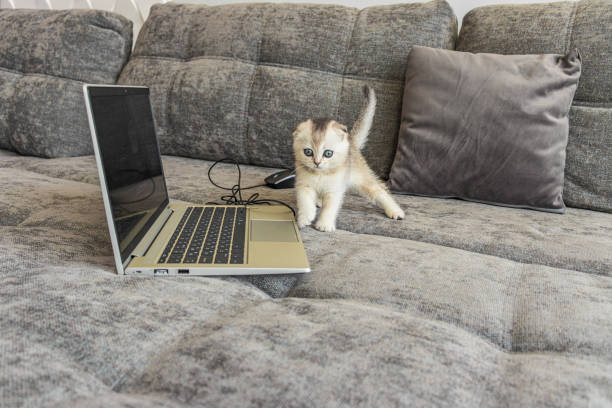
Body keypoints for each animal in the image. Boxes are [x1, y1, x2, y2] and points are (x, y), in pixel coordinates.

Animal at [292, 86, 404, 233]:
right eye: (308, 152)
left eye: (328, 153)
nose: (317, 162)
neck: (321, 174)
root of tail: (351, 141)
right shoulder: (303, 184)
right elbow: (305, 201)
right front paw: (305, 218)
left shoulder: (335, 189)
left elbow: (330, 207)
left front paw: (324, 224)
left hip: (362, 177)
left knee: (379, 191)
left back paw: (395, 211)